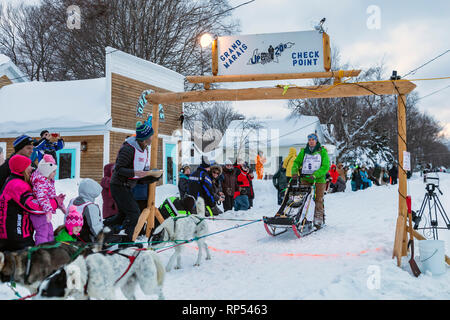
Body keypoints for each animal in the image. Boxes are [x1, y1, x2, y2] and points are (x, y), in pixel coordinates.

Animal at [35, 248, 165, 300]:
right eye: (37, 290)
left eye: (45, 292)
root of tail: (145, 251)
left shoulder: (109, 295)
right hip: (127, 289)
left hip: (147, 286)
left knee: (159, 290)